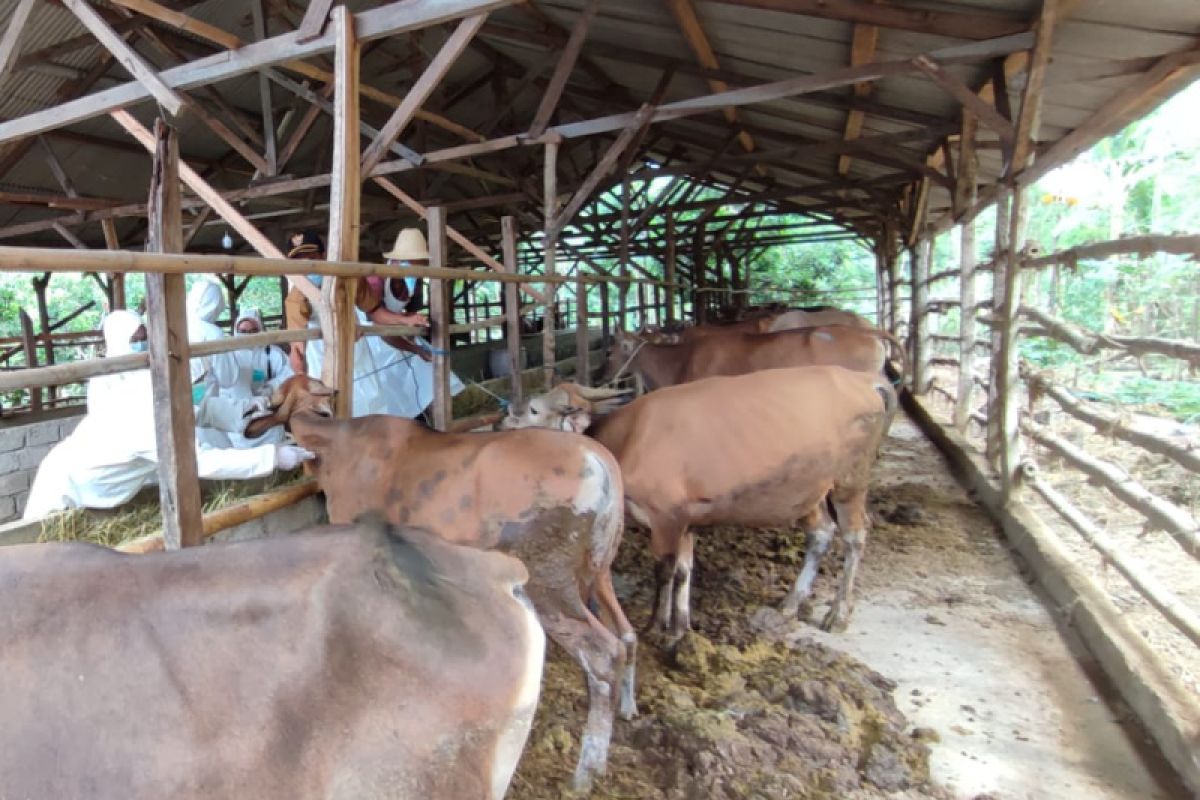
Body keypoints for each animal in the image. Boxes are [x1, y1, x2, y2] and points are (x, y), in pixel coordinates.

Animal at [244, 376, 638, 796]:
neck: (337, 446)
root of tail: (599, 461)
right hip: (599, 567)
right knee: (625, 634)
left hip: (548, 579)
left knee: (604, 652)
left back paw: (586, 770)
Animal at [494, 367, 892, 638]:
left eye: (533, 409)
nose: (501, 422)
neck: (629, 439)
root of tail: (865, 380)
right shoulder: (686, 517)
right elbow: (685, 568)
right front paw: (680, 624)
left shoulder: (666, 516)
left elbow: (665, 569)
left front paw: (656, 624)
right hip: (812, 489)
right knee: (821, 534)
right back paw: (791, 603)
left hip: (850, 482)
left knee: (855, 536)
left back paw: (837, 614)